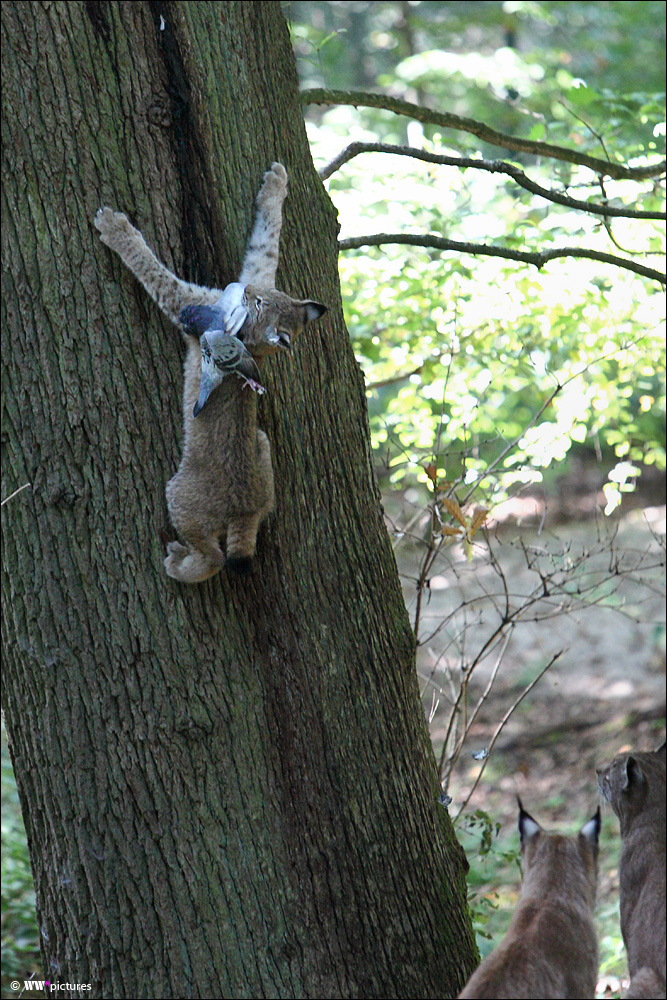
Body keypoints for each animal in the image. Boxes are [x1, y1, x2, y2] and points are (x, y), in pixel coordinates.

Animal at [96, 164, 326, 584]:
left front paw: (118, 230)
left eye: (258, 302)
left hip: (180, 496)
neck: (252, 345)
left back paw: (180, 564)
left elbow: (155, 271)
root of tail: (244, 507)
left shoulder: (186, 303)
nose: (245, 289)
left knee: (215, 557)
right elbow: (266, 242)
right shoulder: (257, 269)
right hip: (261, 449)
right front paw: (276, 185)